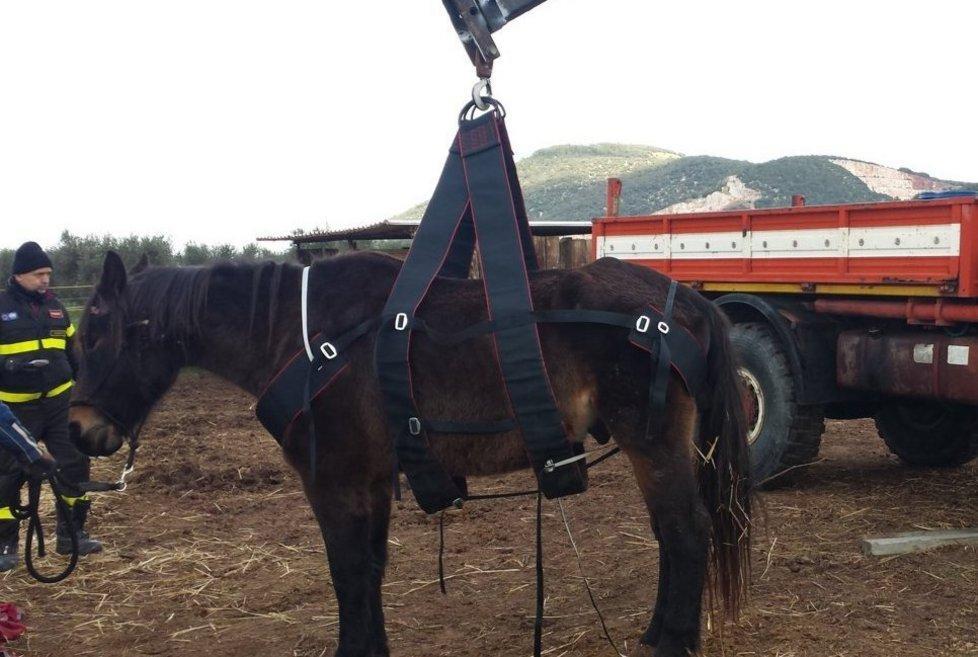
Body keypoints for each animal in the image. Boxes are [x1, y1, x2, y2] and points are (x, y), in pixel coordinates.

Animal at [68, 250, 751, 657]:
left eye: (97, 334)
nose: (78, 430)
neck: (306, 337)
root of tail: (688, 299)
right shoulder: (369, 481)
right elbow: (369, 569)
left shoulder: (334, 481)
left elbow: (347, 572)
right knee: (671, 536)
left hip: (654, 443)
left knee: (685, 532)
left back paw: (673, 641)